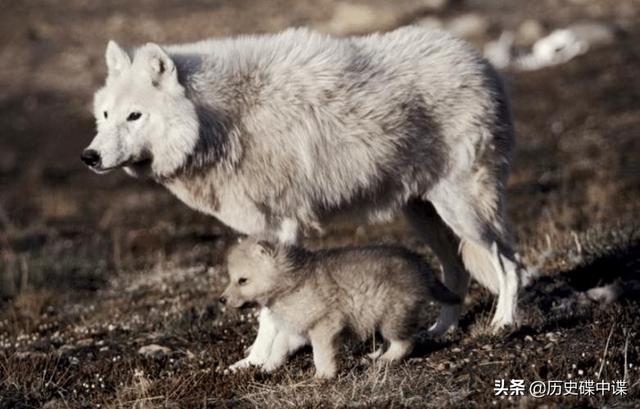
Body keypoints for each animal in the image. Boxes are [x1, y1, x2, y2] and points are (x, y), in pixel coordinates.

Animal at [84, 25, 524, 370]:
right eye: (105, 115)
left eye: (135, 116)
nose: (89, 157)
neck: (219, 122)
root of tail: (478, 60)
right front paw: (256, 361)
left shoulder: (279, 229)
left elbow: (268, 314)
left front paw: (263, 363)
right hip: (426, 216)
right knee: (458, 272)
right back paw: (438, 330)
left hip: (464, 212)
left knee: (510, 263)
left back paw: (502, 324)